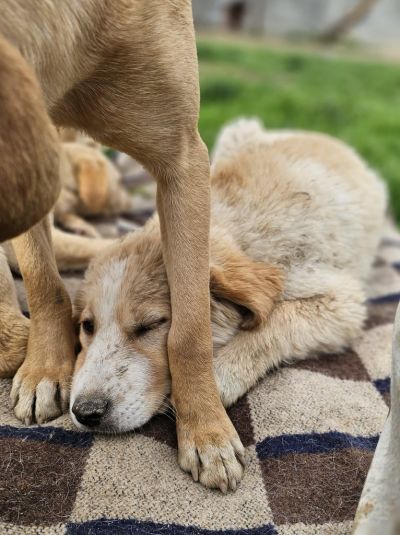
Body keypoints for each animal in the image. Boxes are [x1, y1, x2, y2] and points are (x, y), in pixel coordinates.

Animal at [0, 1, 240, 492]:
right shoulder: (30, 158)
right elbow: (42, 280)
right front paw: (45, 368)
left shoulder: (182, 158)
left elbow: (190, 327)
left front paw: (206, 429)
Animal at [70, 119, 386, 489]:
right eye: (87, 327)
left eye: (150, 325)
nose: (85, 412)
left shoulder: (341, 300)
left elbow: (273, 324)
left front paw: (215, 381)